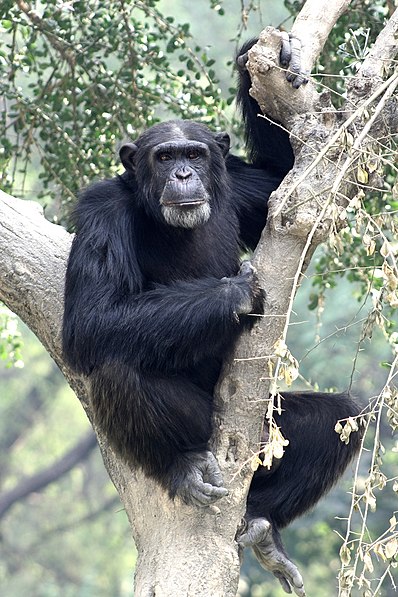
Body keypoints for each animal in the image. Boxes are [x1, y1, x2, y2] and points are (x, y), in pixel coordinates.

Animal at [63, 37, 360, 596]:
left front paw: (271, 57)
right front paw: (236, 291)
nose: (182, 174)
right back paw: (182, 466)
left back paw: (263, 527)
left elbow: (291, 190)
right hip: (204, 426)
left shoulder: (240, 186)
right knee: (118, 366)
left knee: (340, 418)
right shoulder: (100, 211)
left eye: (195, 155)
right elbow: (91, 319)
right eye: (165, 157)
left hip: (268, 434)